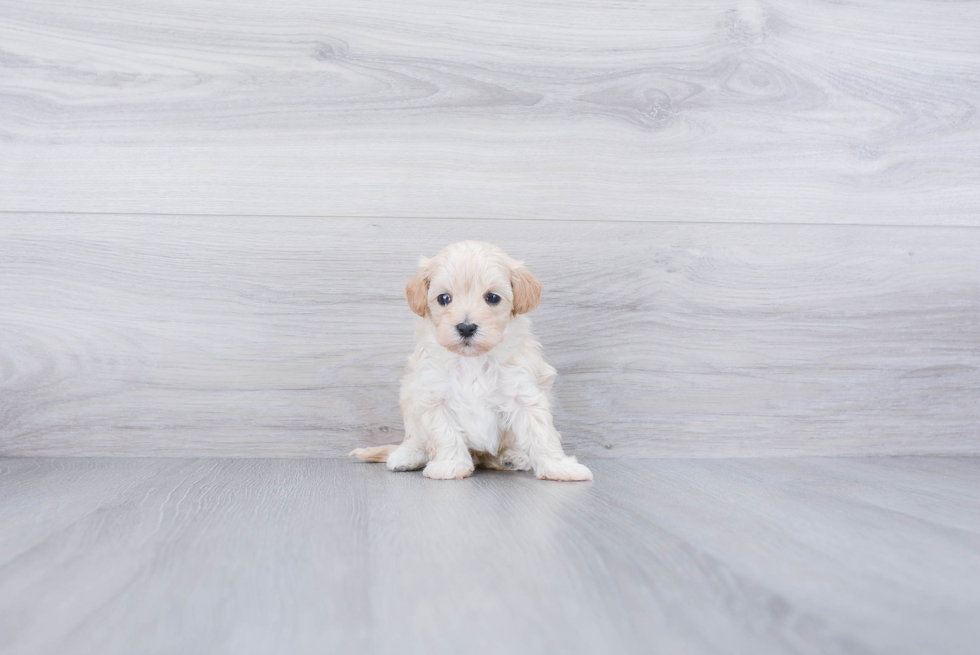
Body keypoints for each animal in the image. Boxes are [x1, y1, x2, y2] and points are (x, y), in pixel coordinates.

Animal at [348, 241, 592, 482]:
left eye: (492, 298)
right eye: (443, 298)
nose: (466, 327)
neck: (473, 360)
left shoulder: (524, 392)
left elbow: (542, 434)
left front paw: (559, 467)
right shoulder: (433, 396)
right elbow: (444, 434)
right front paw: (450, 465)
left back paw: (513, 457)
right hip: (409, 399)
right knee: (416, 439)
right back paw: (407, 455)